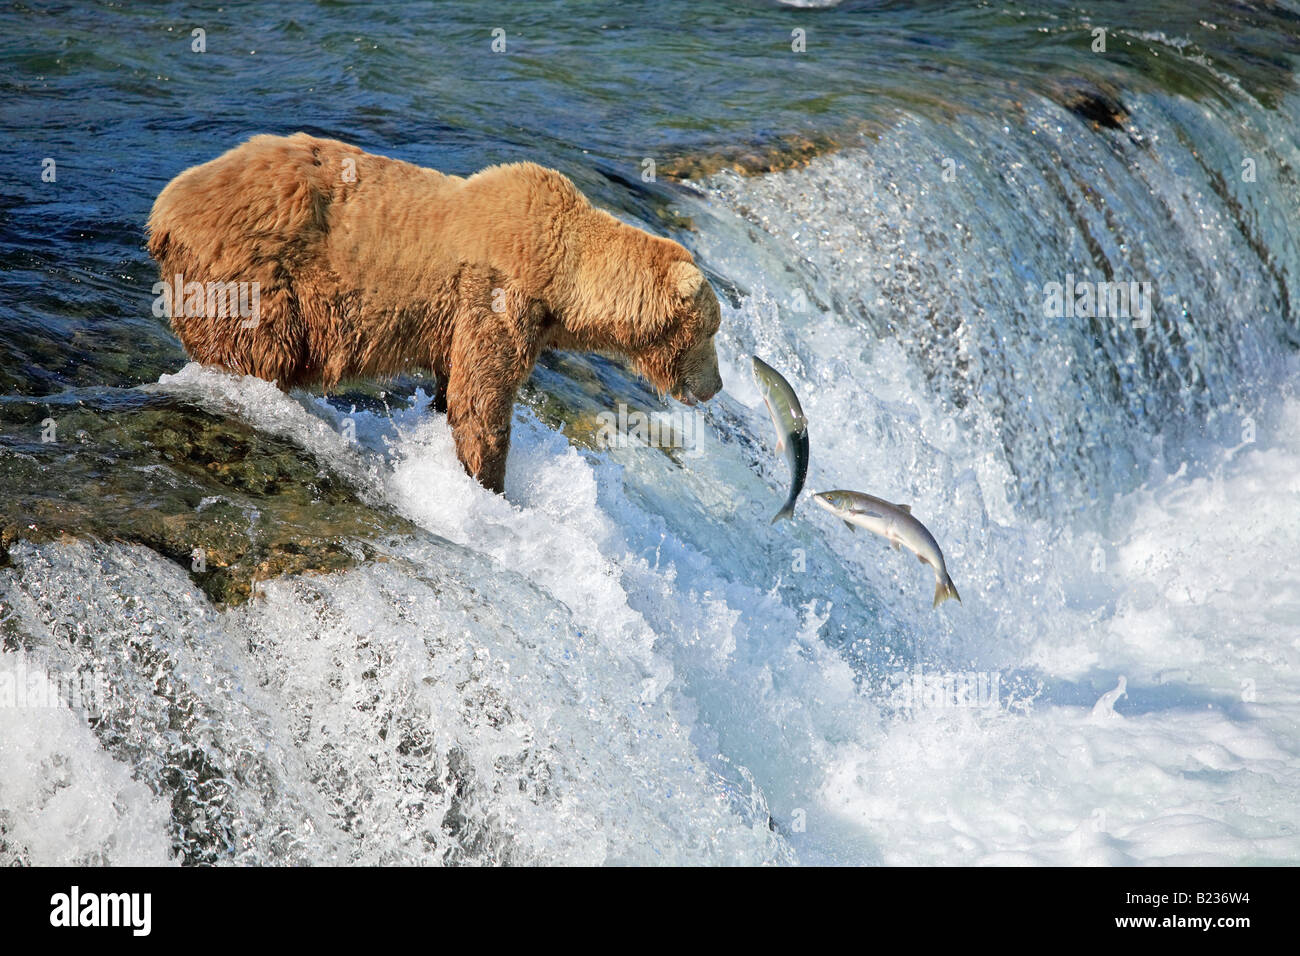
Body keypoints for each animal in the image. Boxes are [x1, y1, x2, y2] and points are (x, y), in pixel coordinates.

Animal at [146, 132, 723, 492]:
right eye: (712, 332)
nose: (716, 385)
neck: (562, 277)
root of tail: (163, 209)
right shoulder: (495, 296)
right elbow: (483, 400)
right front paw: (488, 484)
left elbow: (456, 386)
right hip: (252, 271)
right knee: (257, 349)